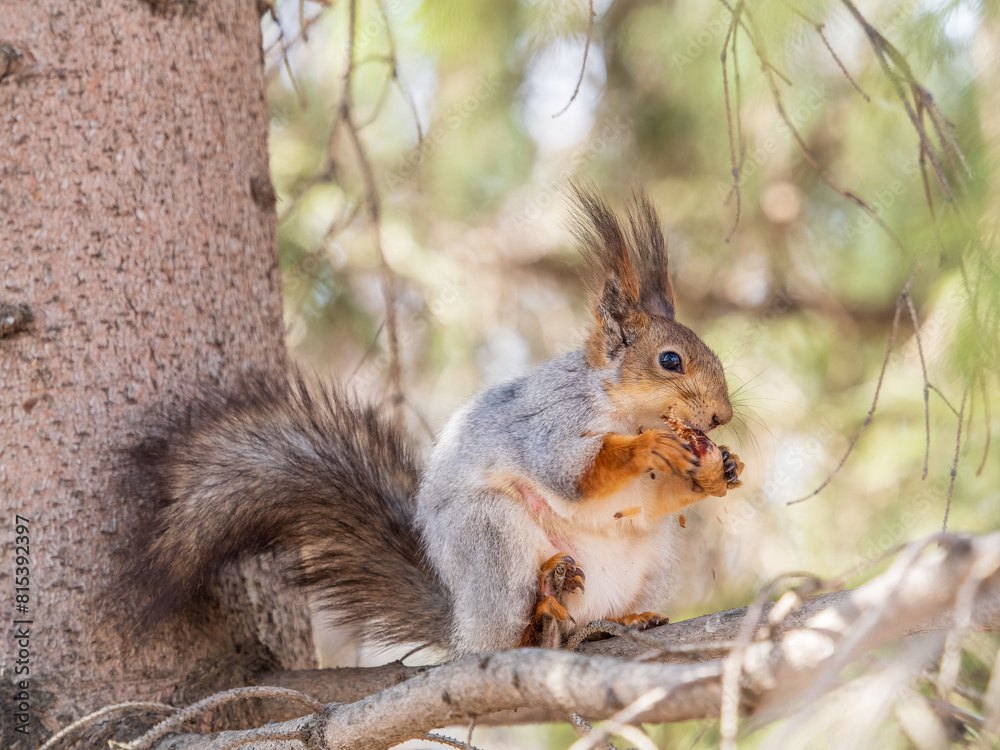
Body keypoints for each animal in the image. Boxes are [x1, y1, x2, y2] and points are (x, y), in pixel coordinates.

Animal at [126, 187, 744, 657]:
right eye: (670, 360)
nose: (723, 416)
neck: (621, 406)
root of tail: (461, 625)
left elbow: (651, 500)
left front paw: (722, 470)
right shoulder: (548, 422)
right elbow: (573, 475)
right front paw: (645, 448)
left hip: (650, 560)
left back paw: (624, 620)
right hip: (491, 538)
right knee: (508, 637)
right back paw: (535, 620)